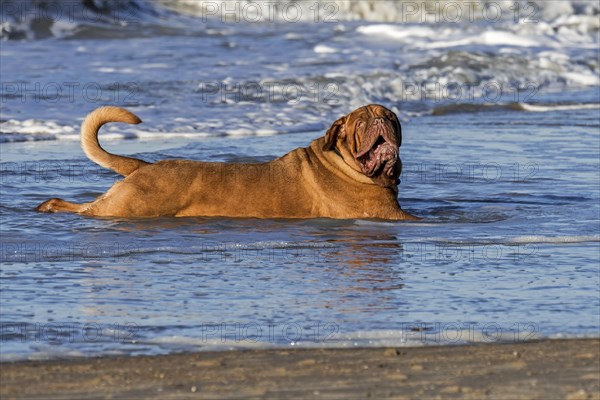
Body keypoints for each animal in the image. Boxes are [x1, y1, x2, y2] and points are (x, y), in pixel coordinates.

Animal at [36, 104, 418, 219]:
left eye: (390, 117)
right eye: (362, 123)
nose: (380, 120)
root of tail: (143, 165)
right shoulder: (386, 215)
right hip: (129, 206)